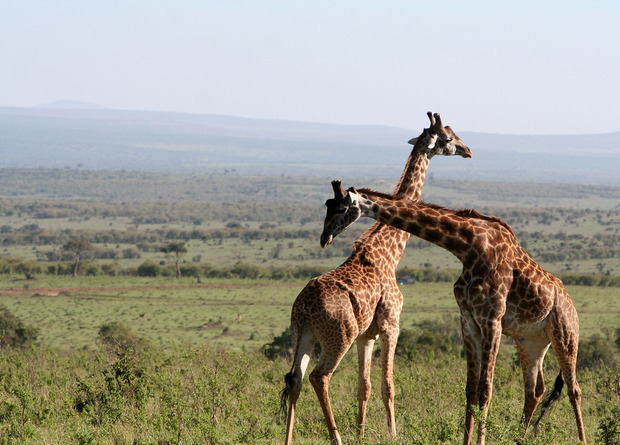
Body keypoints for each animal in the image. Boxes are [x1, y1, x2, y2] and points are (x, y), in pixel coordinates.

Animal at [280, 112, 470, 442]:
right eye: (448, 137)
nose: (467, 150)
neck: (389, 250)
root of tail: (303, 307)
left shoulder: (365, 335)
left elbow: (363, 386)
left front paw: (361, 433)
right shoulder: (391, 324)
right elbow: (388, 385)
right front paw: (392, 434)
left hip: (302, 333)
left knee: (295, 378)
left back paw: (289, 439)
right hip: (338, 335)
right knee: (320, 376)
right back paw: (336, 437)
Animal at [322, 181, 588, 444]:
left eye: (341, 209)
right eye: (327, 205)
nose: (325, 238)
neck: (468, 247)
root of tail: (570, 302)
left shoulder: (492, 319)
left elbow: (485, 389)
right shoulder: (468, 319)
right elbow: (471, 390)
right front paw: (467, 440)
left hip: (565, 332)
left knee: (574, 388)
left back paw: (582, 439)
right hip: (530, 341)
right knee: (534, 390)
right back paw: (519, 440)